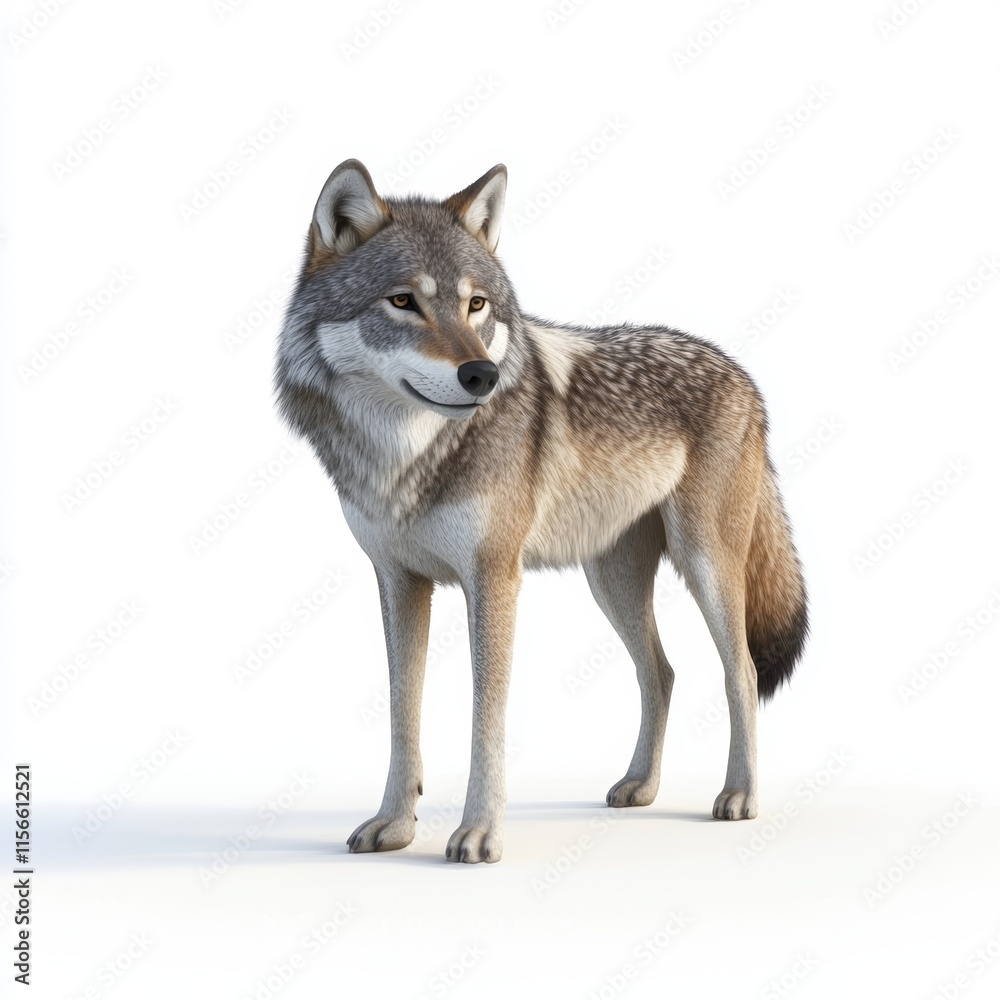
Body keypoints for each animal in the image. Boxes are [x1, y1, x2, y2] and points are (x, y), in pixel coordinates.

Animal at [275, 159, 808, 863]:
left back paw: (739, 796)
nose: (481, 376)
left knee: (740, 671)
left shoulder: (494, 578)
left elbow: (486, 720)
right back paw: (640, 787)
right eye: (403, 301)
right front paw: (393, 824)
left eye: (475, 305)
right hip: (610, 583)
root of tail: (743, 375)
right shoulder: (397, 580)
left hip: (706, 567)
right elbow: (401, 713)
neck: (407, 460)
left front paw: (479, 834)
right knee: (662, 672)